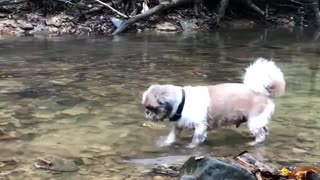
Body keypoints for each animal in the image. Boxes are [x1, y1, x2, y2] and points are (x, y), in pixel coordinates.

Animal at [142, 58, 284, 148]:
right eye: (147, 108)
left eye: (152, 108)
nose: (147, 113)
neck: (182, 102)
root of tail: (262, 92)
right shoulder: (178, 126)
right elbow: (171, 137)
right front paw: (165, 144)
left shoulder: (200, 128)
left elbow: (195, 141)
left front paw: (190, 147)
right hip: (258, 121)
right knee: (265, 130)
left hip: (254, 121)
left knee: (261, 136)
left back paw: (253, 143)